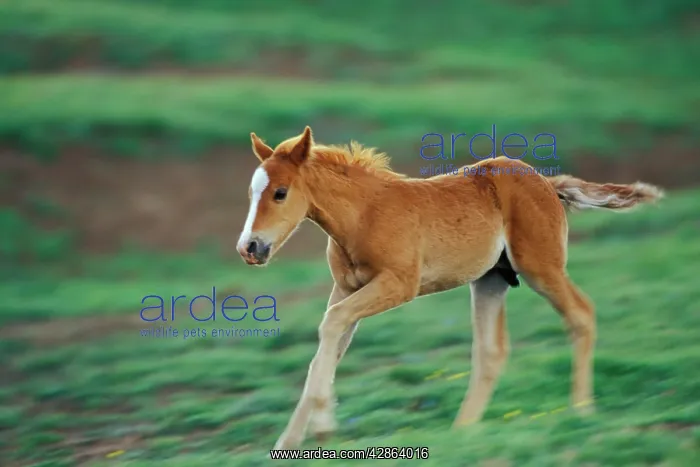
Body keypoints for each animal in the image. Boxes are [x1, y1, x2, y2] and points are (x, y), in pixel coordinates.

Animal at [235, 126, 663, 450]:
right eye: (251, 193)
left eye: (280, 192)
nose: (249, 248)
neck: (364, 214)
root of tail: (546, 181)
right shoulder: (344, 289)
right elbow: (326, 343)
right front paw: (288, 443)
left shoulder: (398, 283)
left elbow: (331, 323)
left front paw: (323, 428)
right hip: (491, 280)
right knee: (491, 351)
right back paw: (462, 432)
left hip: (541, 266)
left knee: (581, 314)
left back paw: (581, 410)